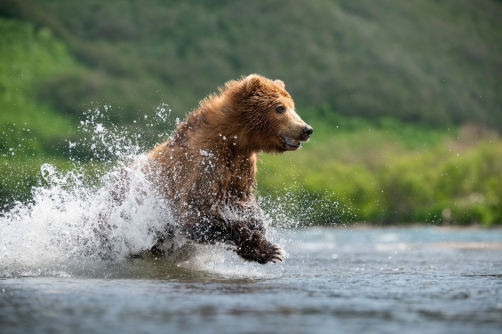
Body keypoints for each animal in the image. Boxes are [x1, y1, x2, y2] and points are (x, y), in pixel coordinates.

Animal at [141, 75, 312, 264]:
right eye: (280, 108)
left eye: (291, 106)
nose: (307, 129)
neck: (233, 142)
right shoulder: (204, 165)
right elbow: (196, 214)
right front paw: (268, 249)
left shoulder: (242, 167)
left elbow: (243, 200)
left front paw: (259, 229)